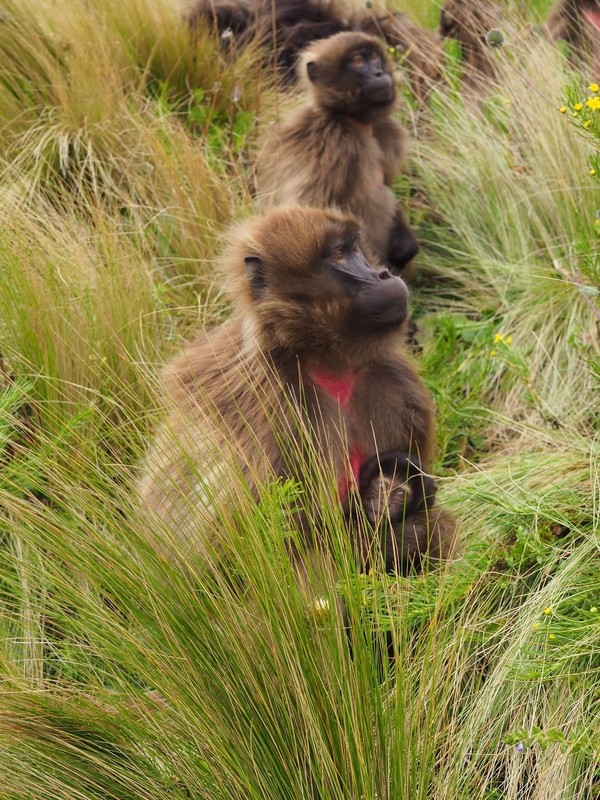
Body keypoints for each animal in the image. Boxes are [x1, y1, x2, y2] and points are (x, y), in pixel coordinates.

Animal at [139, 208, 454, 576]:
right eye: (338, 254)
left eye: (355, 248)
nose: (383, 274)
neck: (325, 360)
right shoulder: (271, 411)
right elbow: (260, 550)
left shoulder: (397, 383)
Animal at [255, 32, 420, 278]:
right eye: (358, 61)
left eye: (374, 57)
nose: (379, 73)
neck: (349, 120)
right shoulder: (334, 145)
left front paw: (404, 246)